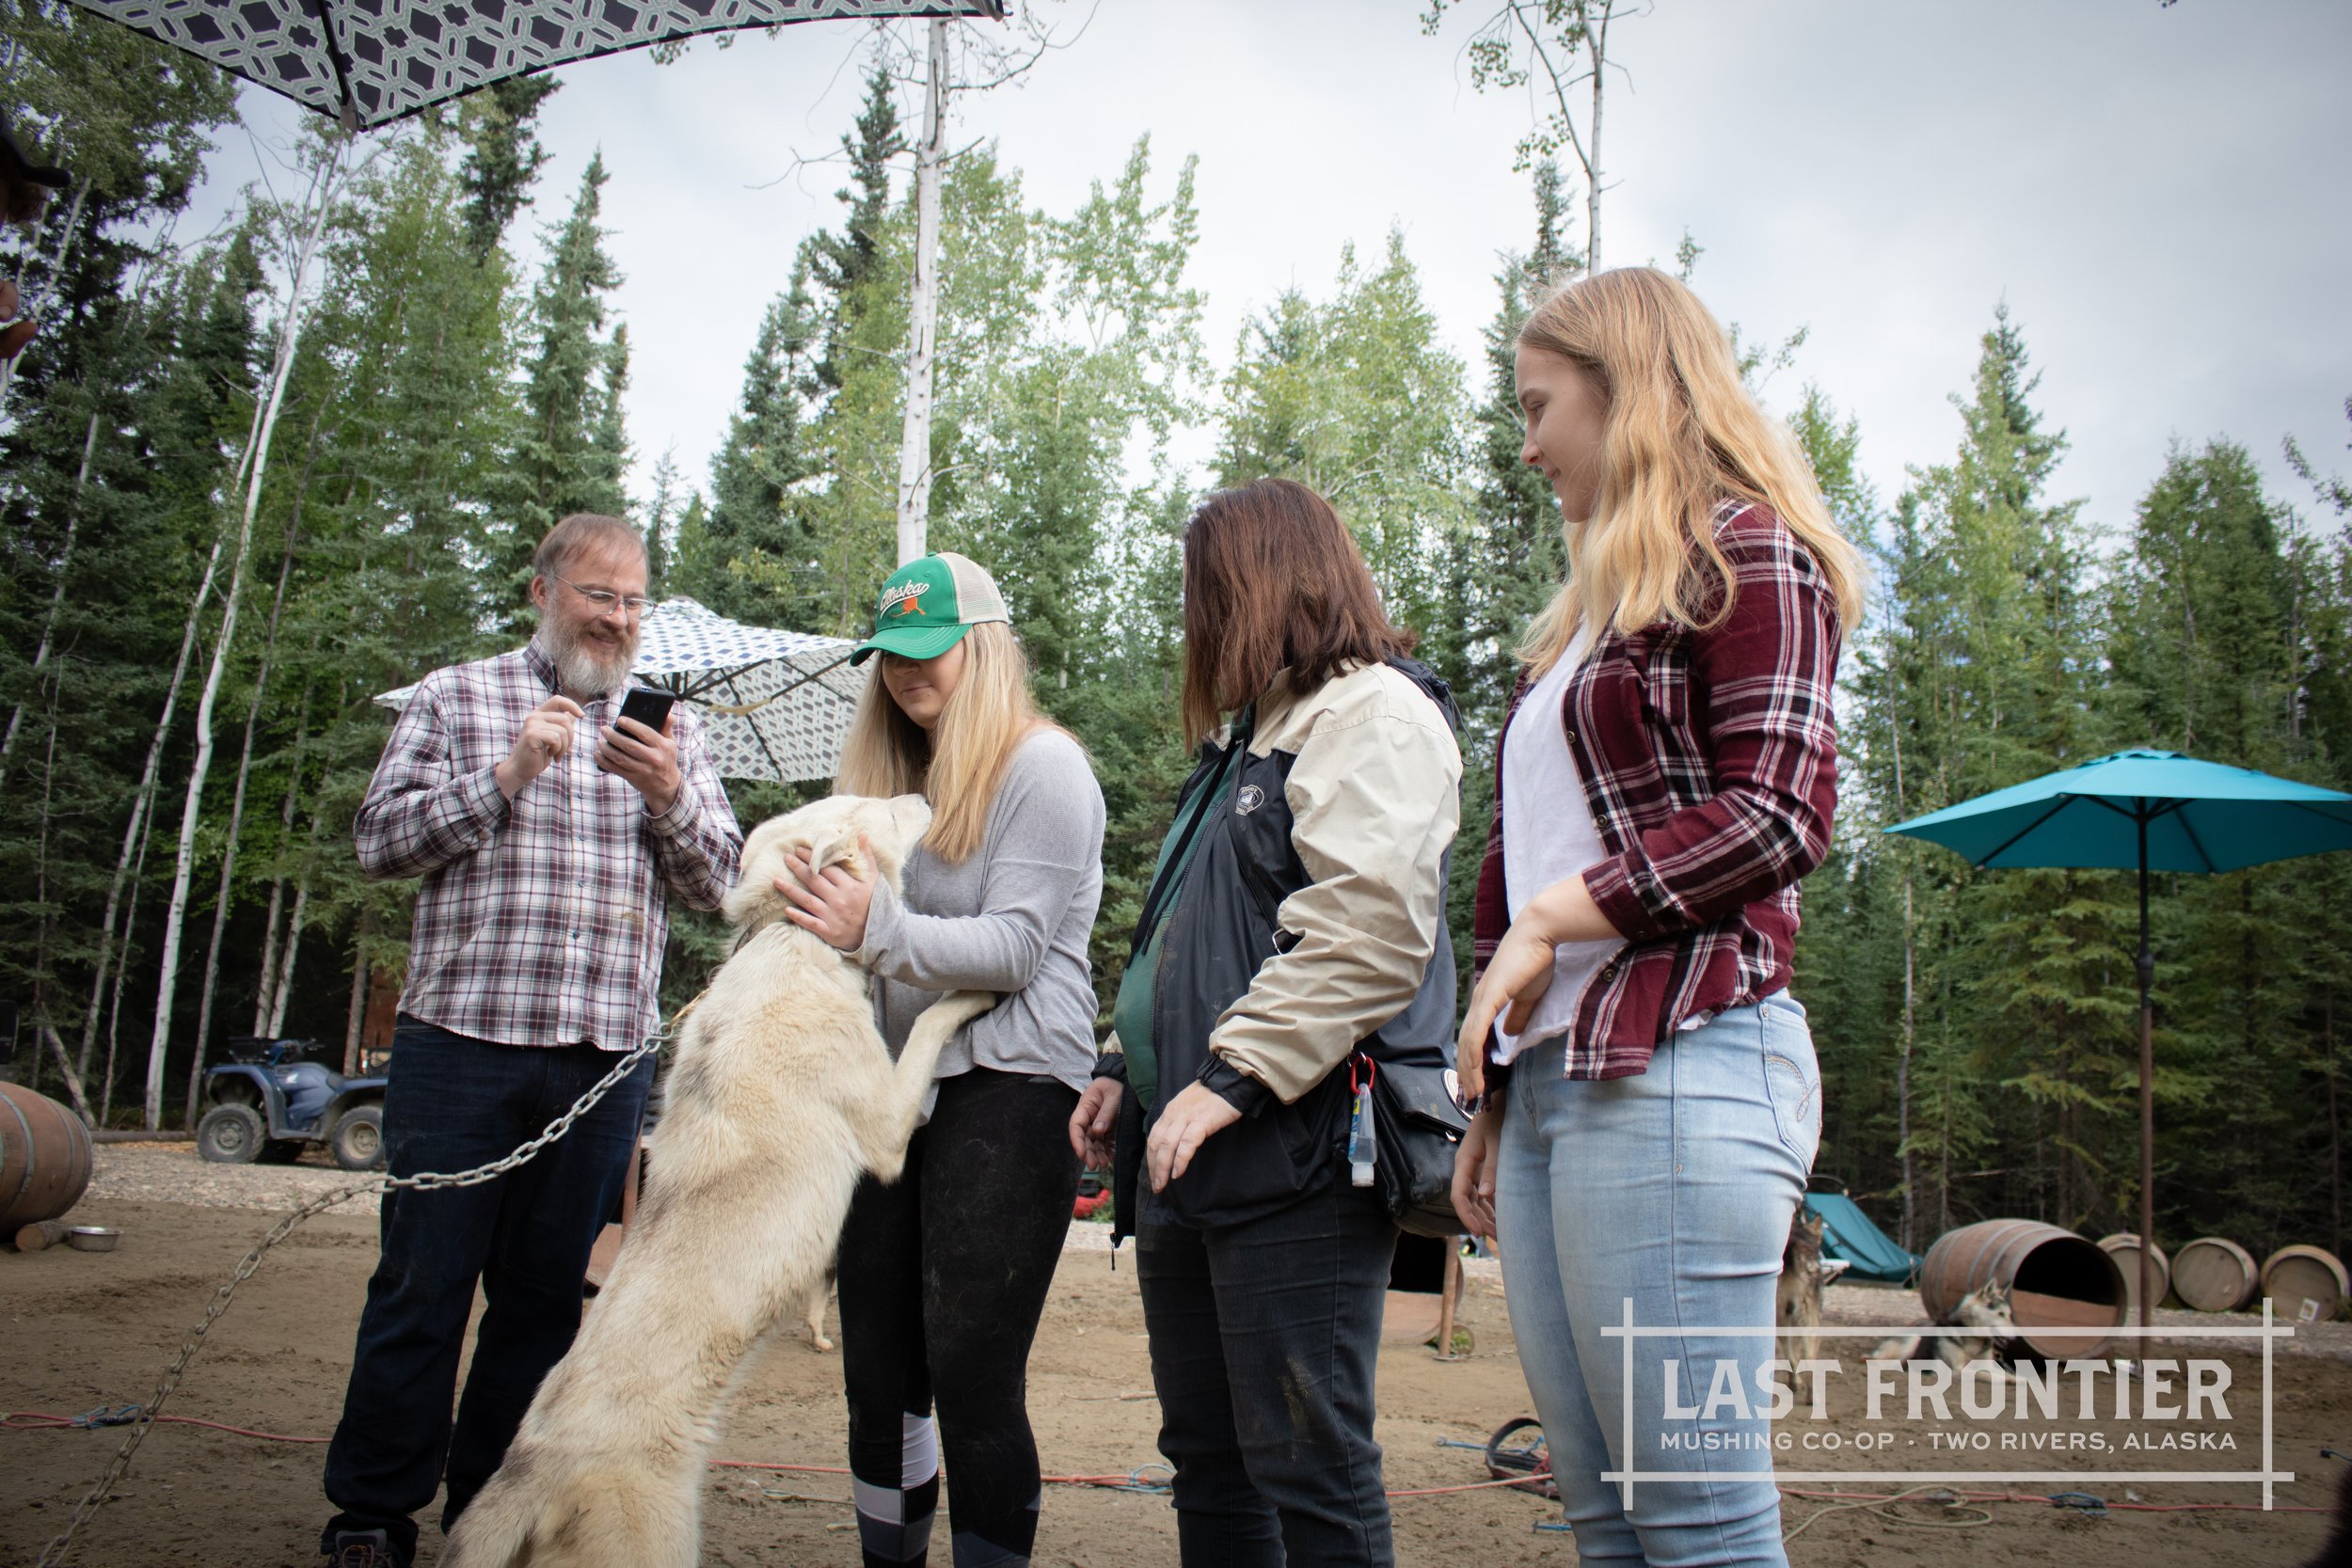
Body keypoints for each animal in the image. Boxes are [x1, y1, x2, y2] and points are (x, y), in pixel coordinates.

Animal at [442, 799, 993, 1568]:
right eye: (877, 809)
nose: (922, 797)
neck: (790, 936)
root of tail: (529, 1471)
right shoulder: (888, 1129)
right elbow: (935, 1021)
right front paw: (980, 986)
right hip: (658, 1544)